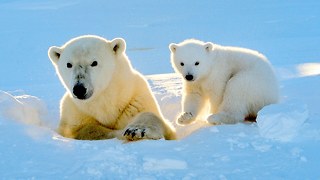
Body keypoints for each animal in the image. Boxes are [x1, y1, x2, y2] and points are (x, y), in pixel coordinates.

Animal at [48, 34, 176, 140]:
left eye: (94, 62)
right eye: (69, 64)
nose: (79, 89)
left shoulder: (136, 100)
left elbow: (153, 117)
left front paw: (137, 130)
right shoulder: (75, 112)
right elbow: (85, 129)